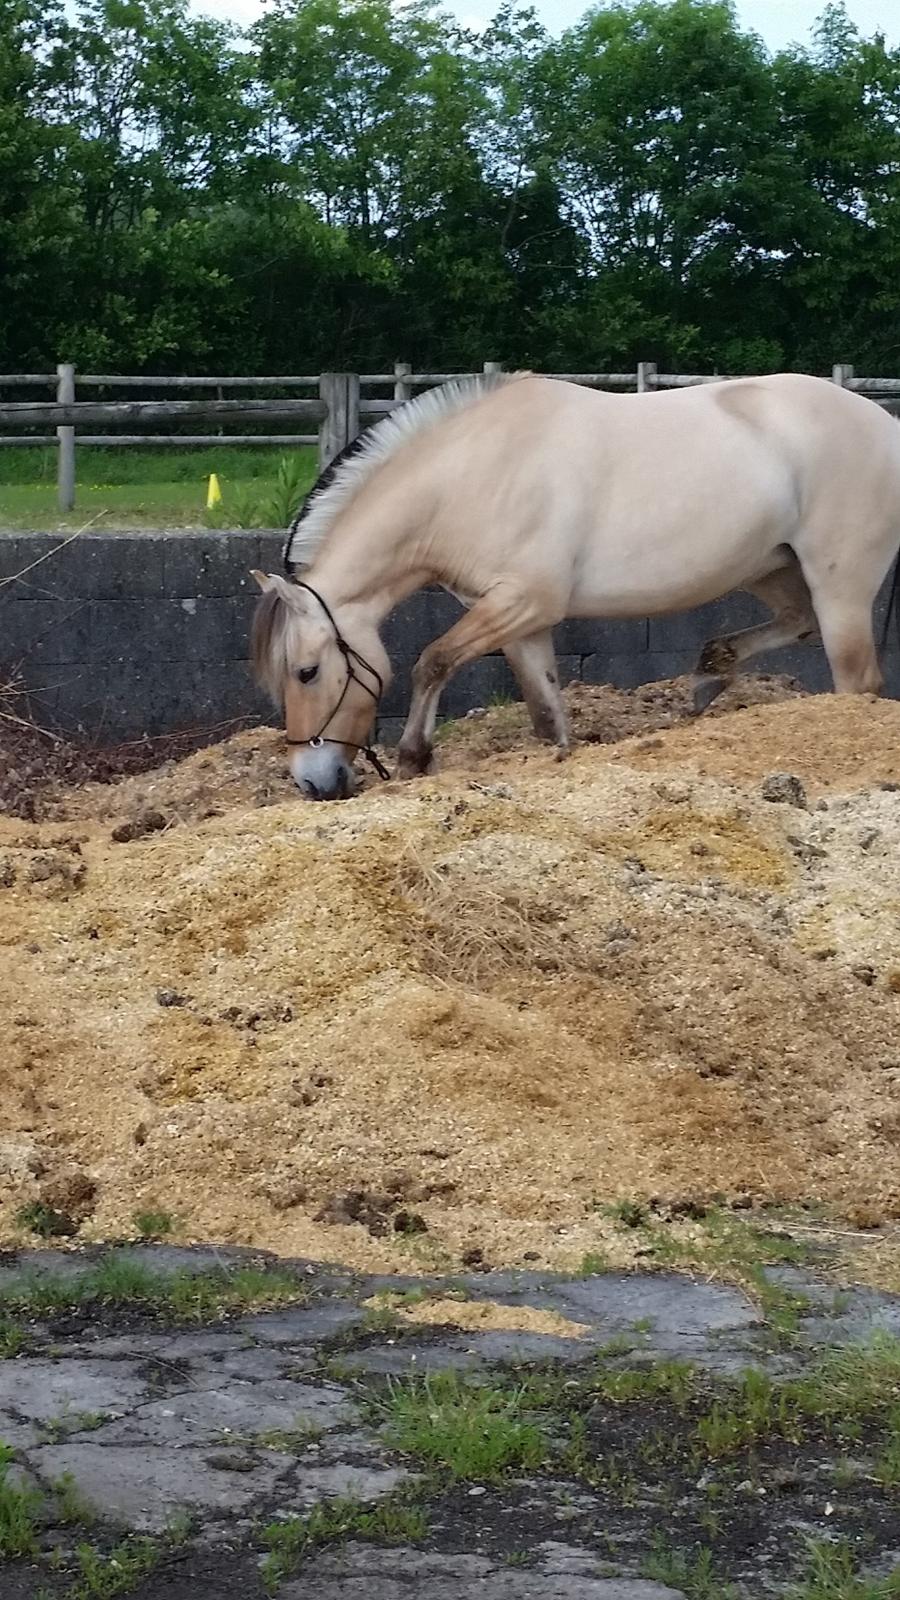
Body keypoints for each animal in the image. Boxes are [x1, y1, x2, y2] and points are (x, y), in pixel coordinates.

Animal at [248, 371, 896, 800]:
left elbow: (432, 661)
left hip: (839, 586)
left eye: (307, 672)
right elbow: (546, 712)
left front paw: (413, 758)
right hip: (771, 567)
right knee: (795, 622)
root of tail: (885, 423)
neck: (470, 477)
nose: (314, 783)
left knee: (857, 681)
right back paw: (710, 673)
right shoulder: (517, 618)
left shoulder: (524, 601)